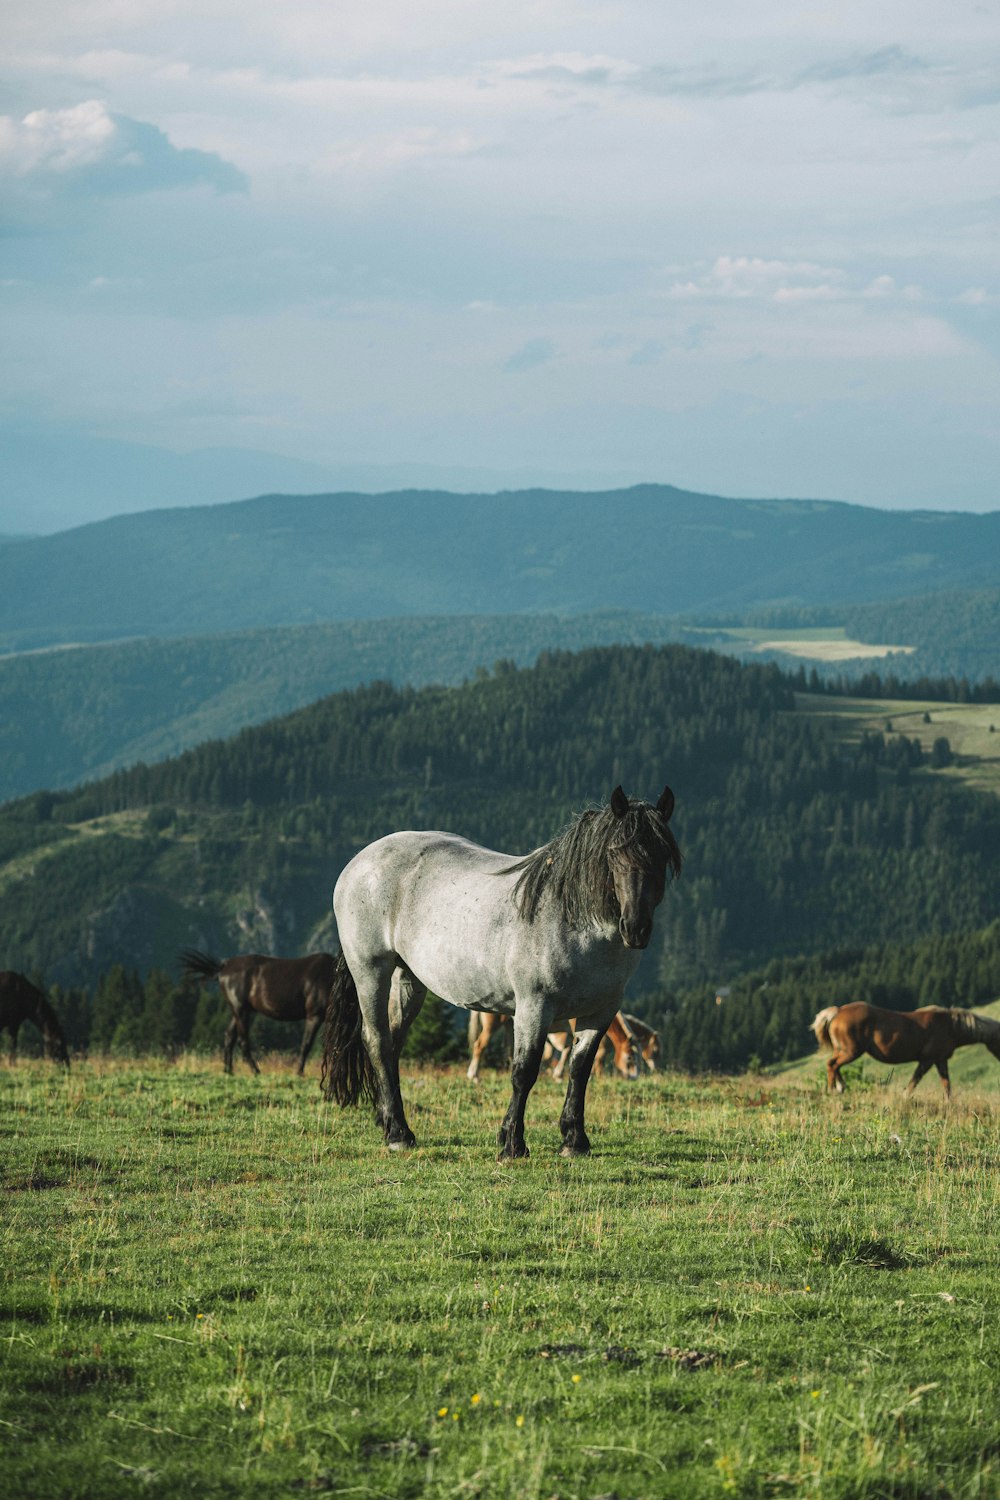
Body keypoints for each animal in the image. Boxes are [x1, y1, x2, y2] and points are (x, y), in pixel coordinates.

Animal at [179, 954, 335, 1074]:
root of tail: (223, 968)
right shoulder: (314, 1016)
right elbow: (306, 1044)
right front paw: (299, 1072)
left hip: (239, 1011)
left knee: (229, 1036)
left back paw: (228, 1070)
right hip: (241, 1010)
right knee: (242, 1040)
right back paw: (255, 1071)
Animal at [320, 786, 680, 1158]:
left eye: (663, 856)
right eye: (614, 854)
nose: (635, 928)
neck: (575, 924)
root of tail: (359, 862)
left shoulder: (600, 1012)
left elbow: (580, 1070)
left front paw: (574, 1141)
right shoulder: (534, 1006)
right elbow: (525, 1071)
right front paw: (512, 1143)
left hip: (407, 979)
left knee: (393, 1042)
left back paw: (389, 1121)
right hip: (370, 971)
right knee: (377, 1040)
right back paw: (398, 1135)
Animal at [809, 1002, 1000, 1098]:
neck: (951, 1025)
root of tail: (837, 1011)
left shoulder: (940, 1059)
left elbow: (946, 1083)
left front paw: (948, 1101)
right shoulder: (928, 1060)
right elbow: (916, 1079)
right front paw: (906, 1096)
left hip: (843, 1050)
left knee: (834, 1065)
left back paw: (840, 1087)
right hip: (851, 1051)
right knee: (832, 1065)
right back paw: (834, 1089)